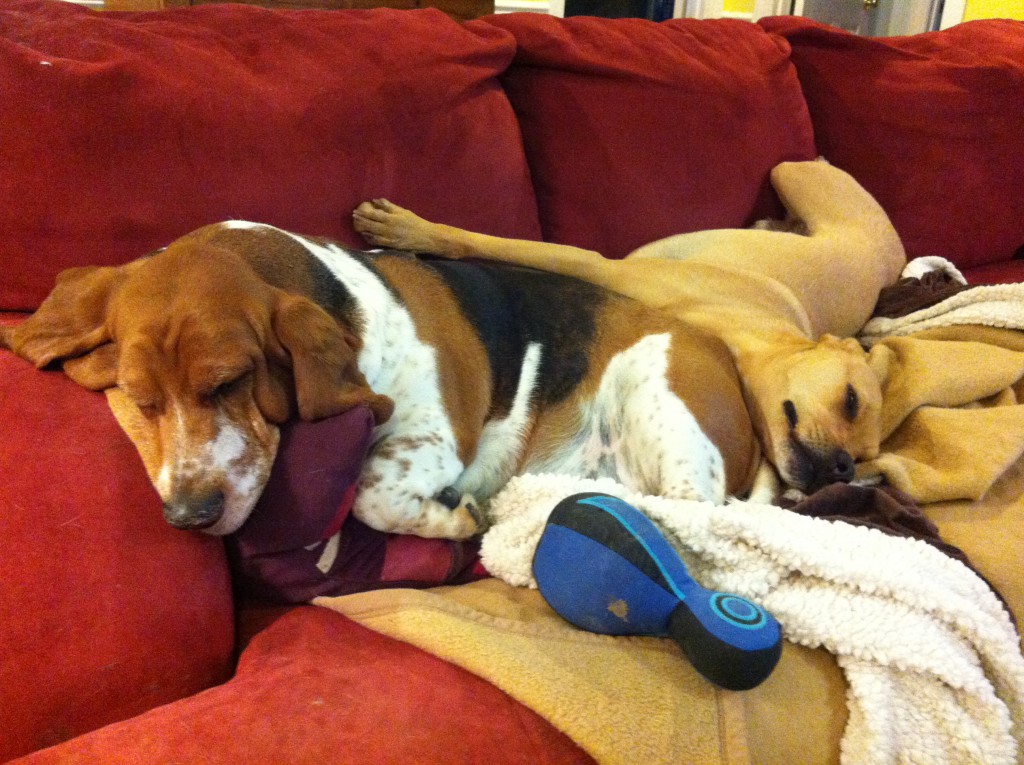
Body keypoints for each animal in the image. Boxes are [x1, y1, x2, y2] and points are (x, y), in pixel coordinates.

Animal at [354, 161, 905, 497]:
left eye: (865, 459)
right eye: (851, 400)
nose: (843, 468)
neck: (753, 329)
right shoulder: (602, 265)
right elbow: (485, 240)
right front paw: (408, 228)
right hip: (791, 172)